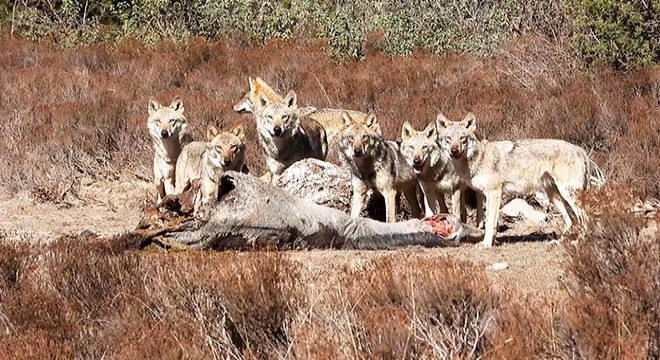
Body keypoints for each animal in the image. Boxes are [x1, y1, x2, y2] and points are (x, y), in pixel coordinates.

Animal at [438, 112, 600, 248]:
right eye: (449, 139)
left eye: (462, 138)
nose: (454, 151)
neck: (477, 159)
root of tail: (581, 150)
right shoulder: (484, 195)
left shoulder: (494, 194)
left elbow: (490, 223)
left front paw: (486, 244)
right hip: (554, 196)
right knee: (570, 221)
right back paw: (559, 242)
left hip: (568, 194)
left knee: (586, 219)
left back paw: (579, 242)